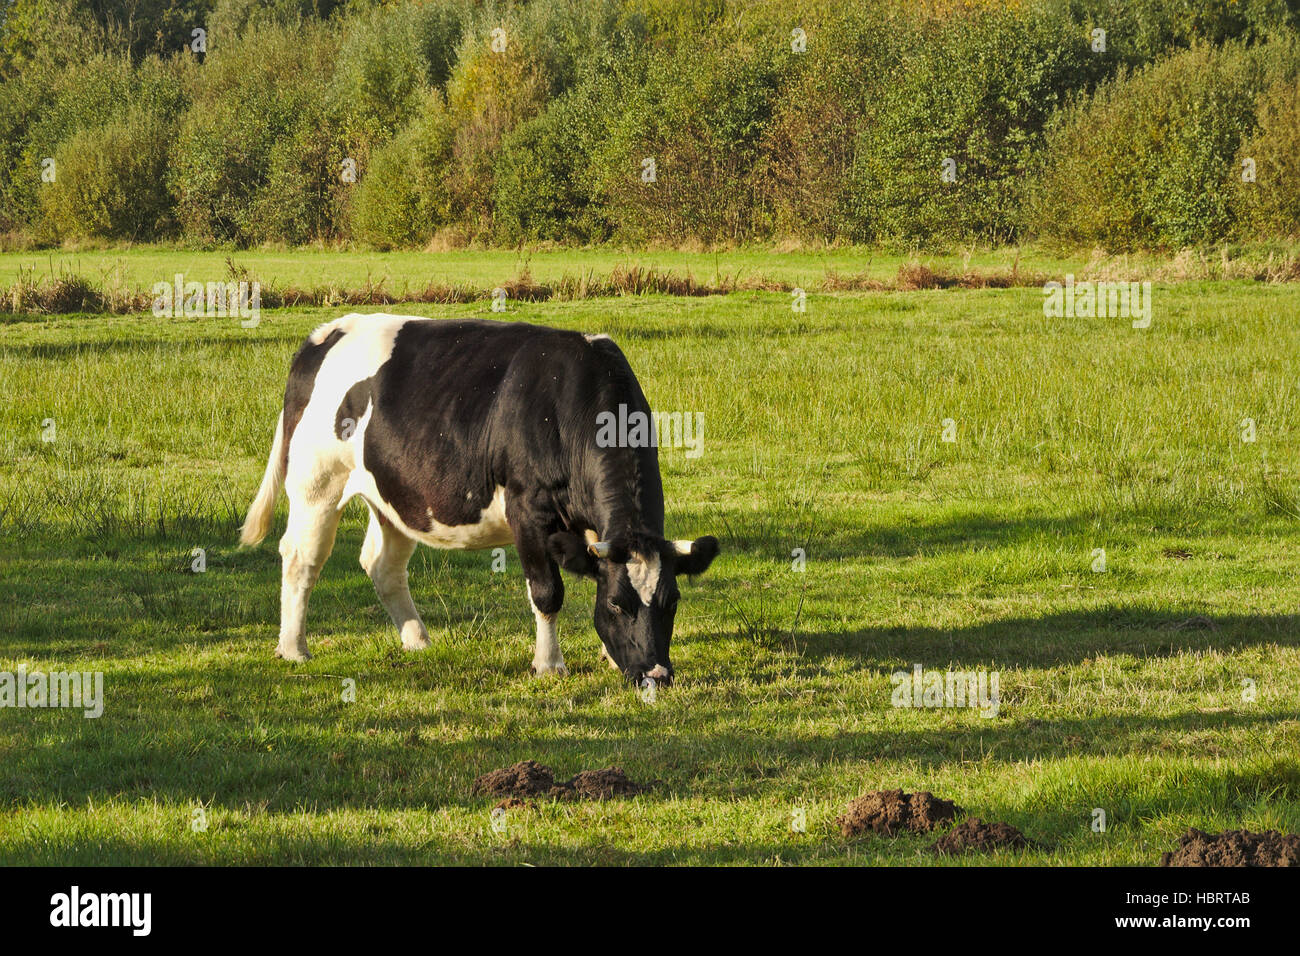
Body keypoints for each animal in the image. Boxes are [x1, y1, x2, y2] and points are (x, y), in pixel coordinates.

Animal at [239, 313, 719, 685]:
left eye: (672, 601)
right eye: (619, 604)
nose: (655, 675)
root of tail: (325, 333)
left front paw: (606, 655)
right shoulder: (527, 509)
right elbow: (547, 592)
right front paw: (549, 664)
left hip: (393, 493)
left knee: (382, 564)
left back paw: (418, 640)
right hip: (316, 483)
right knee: (301, 558)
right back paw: (294, 648)